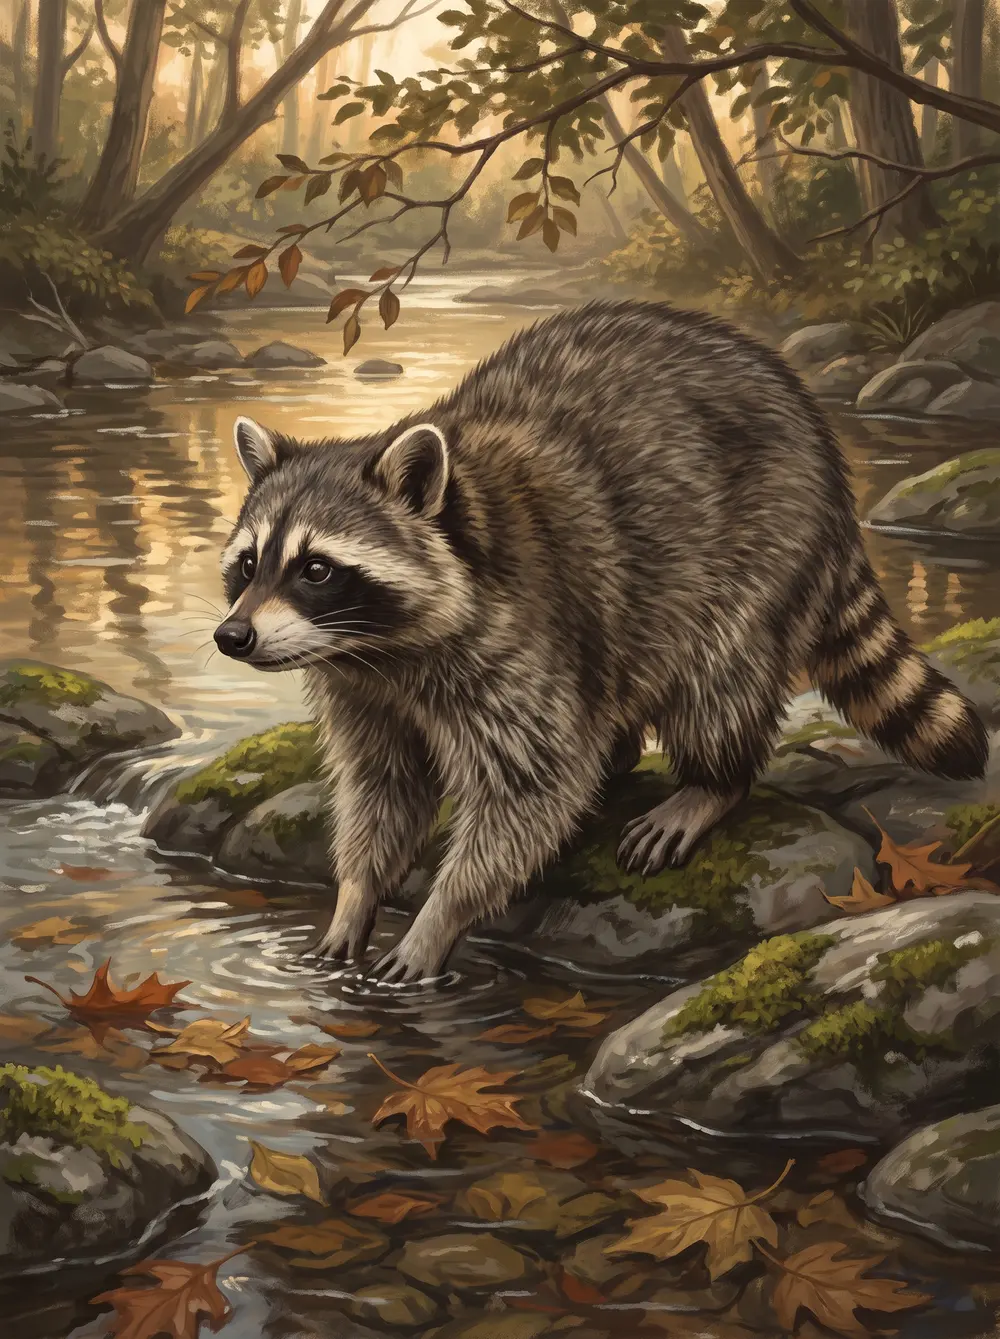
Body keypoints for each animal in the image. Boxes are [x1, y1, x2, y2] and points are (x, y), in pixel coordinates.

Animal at [214, 300, 988, 983]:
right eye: (249, 565)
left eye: (316, 569)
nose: (231, 636)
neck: (382, 649)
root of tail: (827, 458)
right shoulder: (363, 691)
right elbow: (383, 790)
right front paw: (355, 895)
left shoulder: (523, 638)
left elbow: (530, 790)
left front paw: (439, 915)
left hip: (762, 545)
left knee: (720, 673)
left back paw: (713, 780)